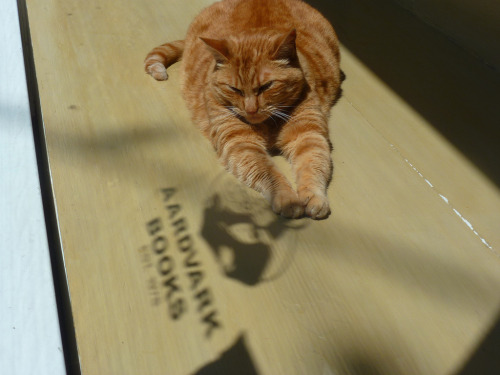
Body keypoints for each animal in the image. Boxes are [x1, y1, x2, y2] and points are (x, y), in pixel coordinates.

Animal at [143, 0, 342, 220]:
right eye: (235, 89)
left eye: (266, 86)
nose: (251, 109)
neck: (268, 124)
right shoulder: (242, 144)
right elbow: (269, 173)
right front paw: (288, 199)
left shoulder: (307, 135)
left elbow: (313, 165)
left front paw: (314, 197)